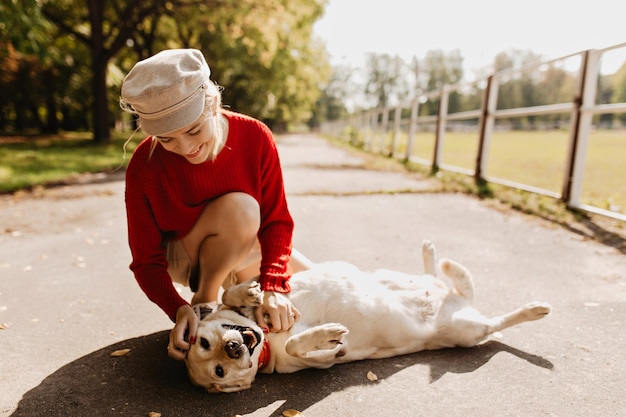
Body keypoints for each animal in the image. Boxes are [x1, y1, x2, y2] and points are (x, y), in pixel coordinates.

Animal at [183, 239, 548, 392]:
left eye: (204, 341)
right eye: (219, 371)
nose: (233, 348)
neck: (265, 336)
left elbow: (226, 296)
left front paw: (248, 293)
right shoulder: (318, 362)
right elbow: (295, 345)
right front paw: (327, 335)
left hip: (402, 278)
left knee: (437, 277)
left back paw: (432, 257)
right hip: (468, 330)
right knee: (497, 323)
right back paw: (535, 309)